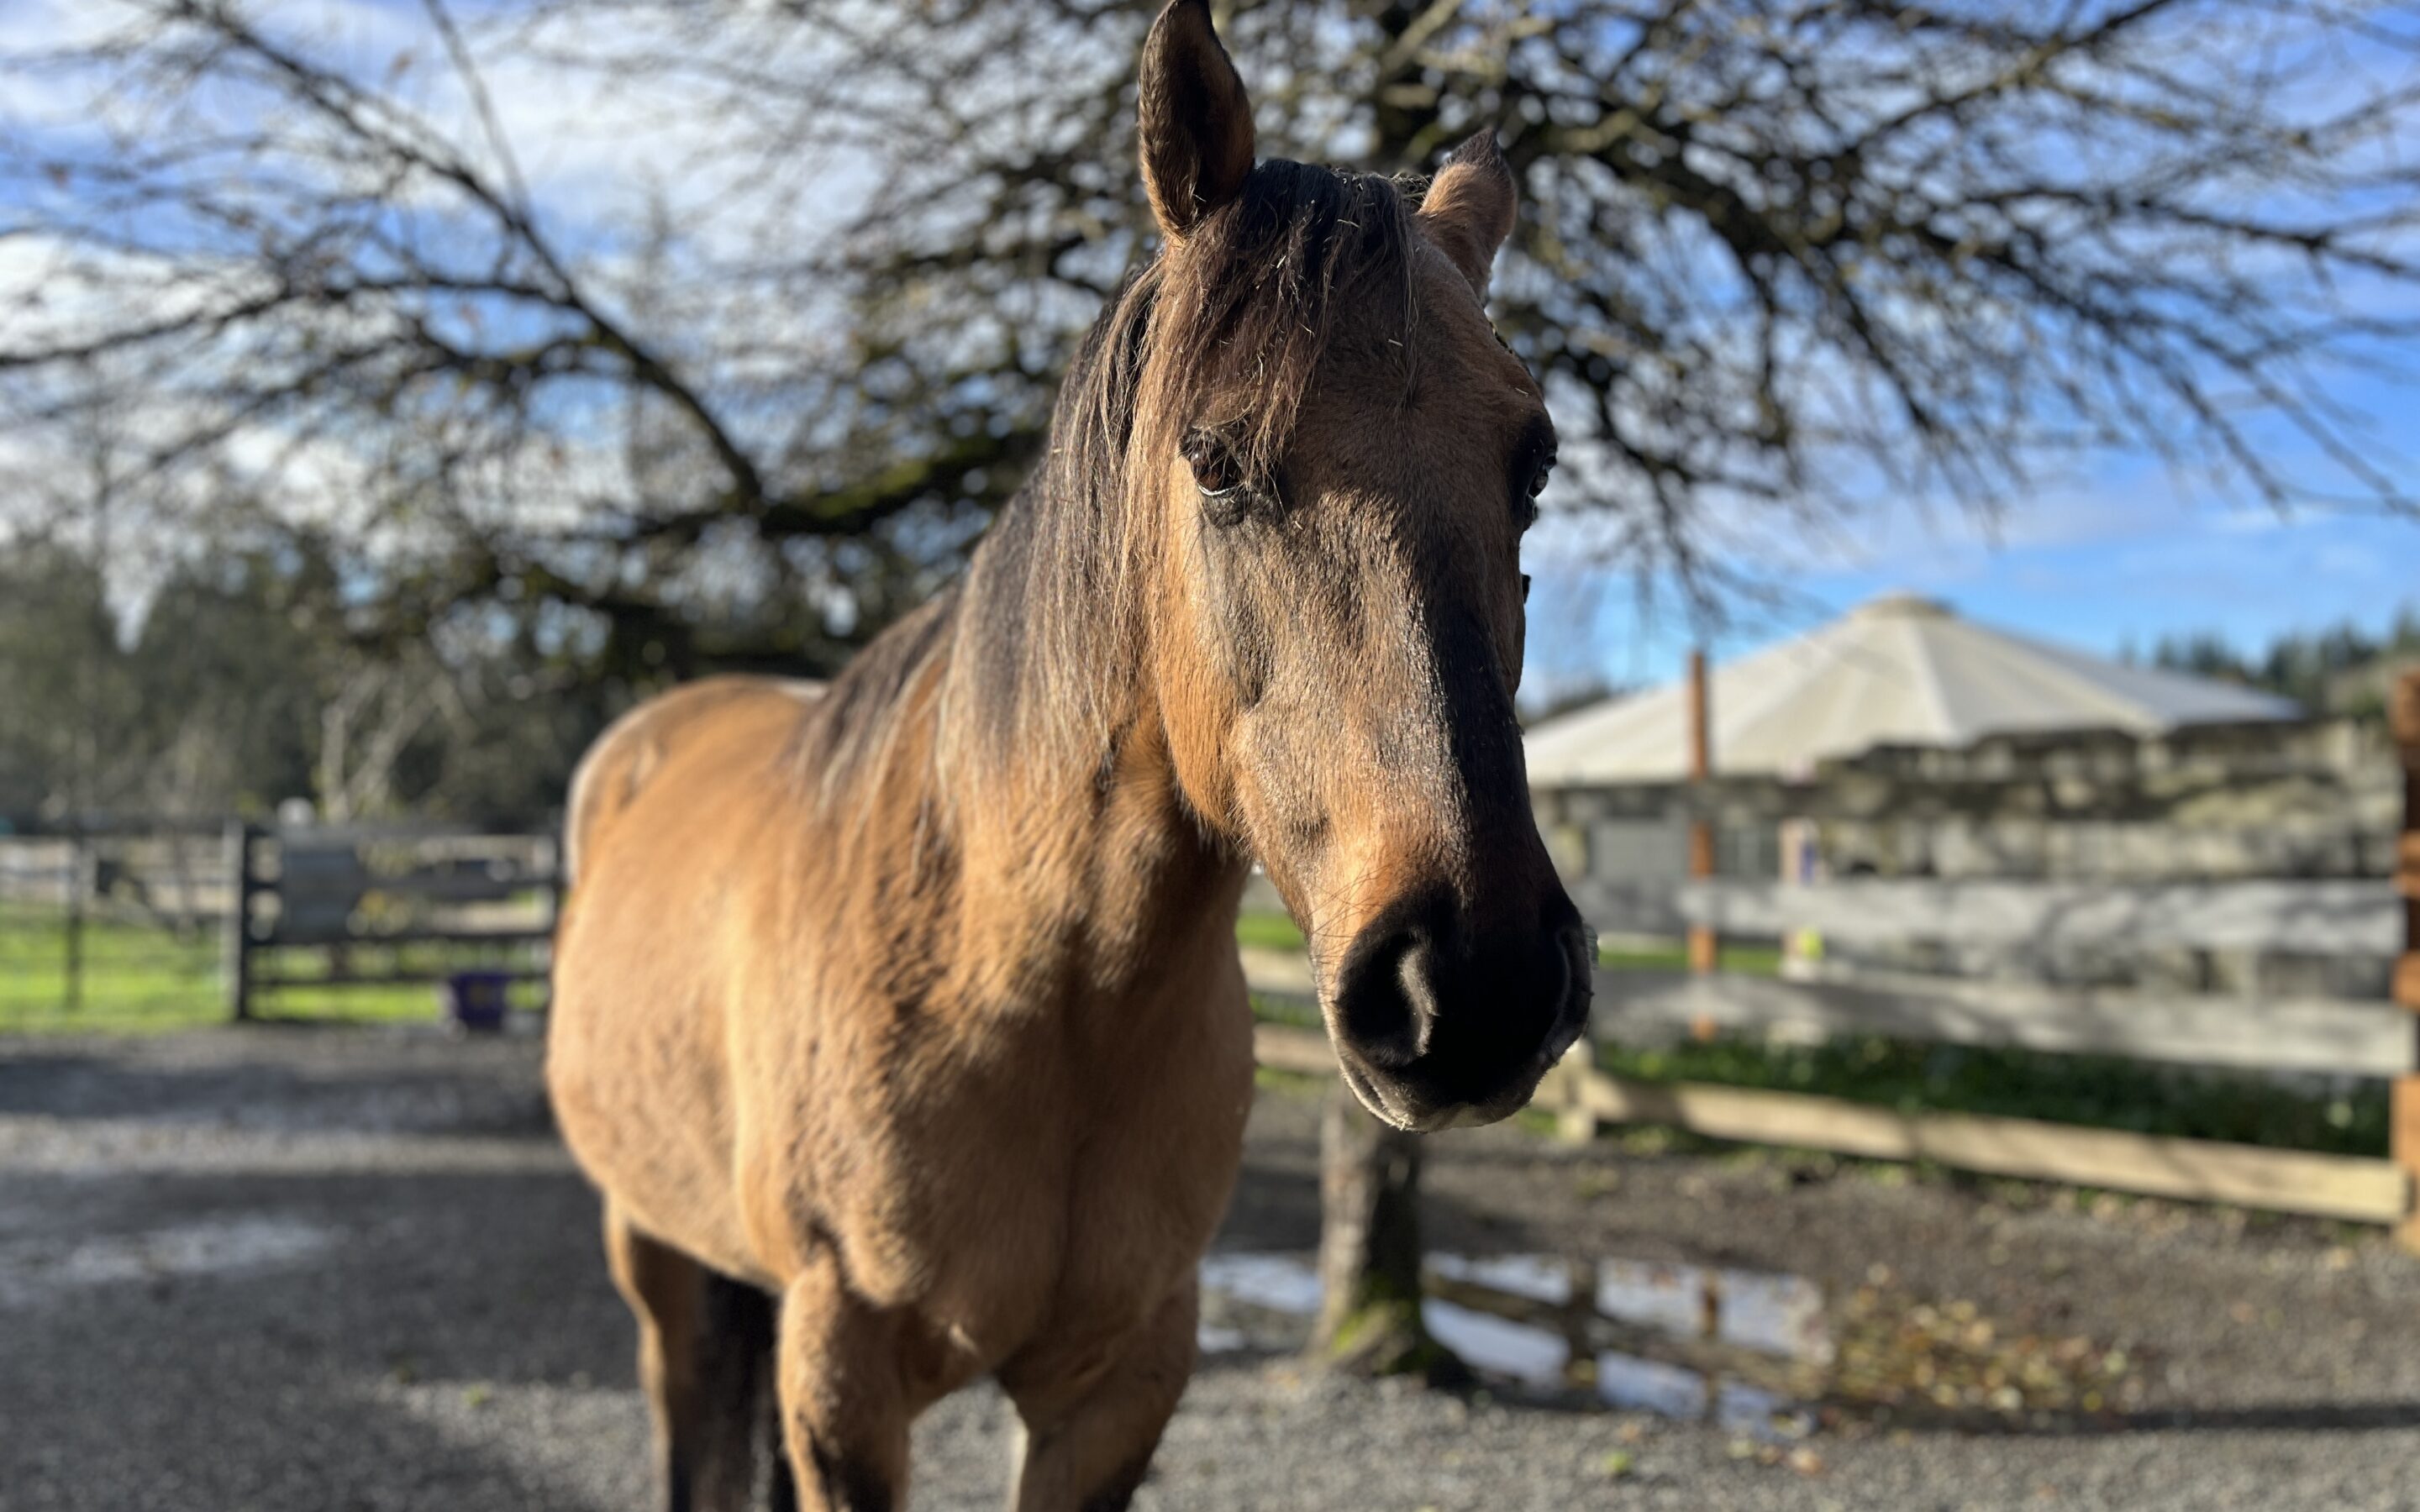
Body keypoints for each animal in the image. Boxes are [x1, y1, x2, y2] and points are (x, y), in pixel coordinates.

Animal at [556, 6, 1597, 1499]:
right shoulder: (841, 1381)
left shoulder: (1120, 1388)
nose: (1476, 983)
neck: (1025, 979)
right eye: (1214, 462)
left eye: (1535, 464)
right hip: (654, 1255)